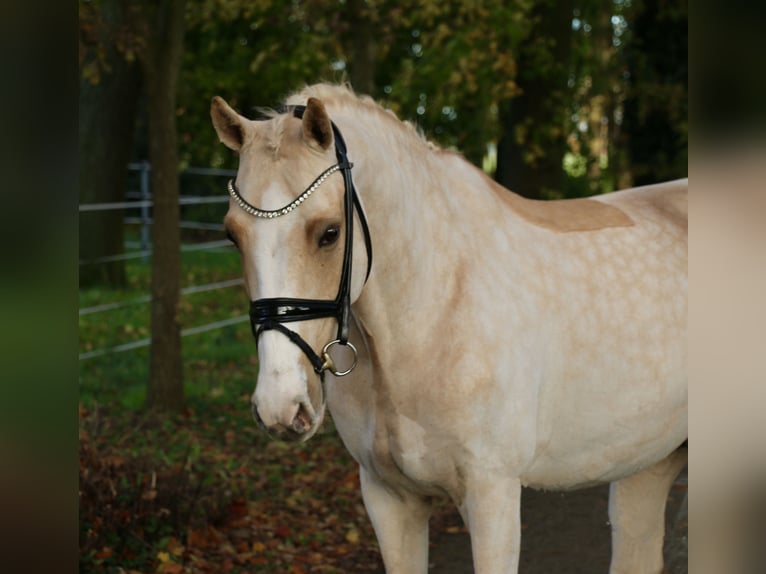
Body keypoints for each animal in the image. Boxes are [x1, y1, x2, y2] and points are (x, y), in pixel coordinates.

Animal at [212, 82, 688, 574]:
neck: (436, 312)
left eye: (329, 233)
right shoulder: (389, 499)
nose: (281, 408)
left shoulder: (493, 496)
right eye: (232, 235)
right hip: (648, 466)